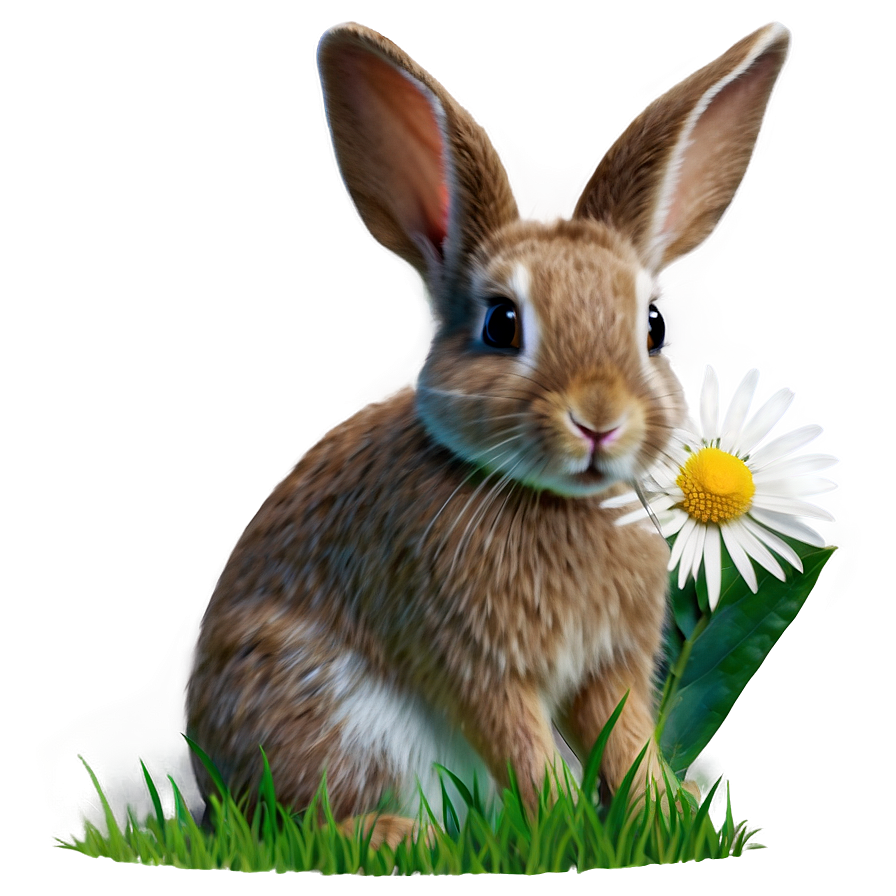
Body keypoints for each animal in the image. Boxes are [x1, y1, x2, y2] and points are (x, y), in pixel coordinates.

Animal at [184, 20, 790, 848]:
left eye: (656, 326)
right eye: (502, 324)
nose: (599, 418)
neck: (556, 502)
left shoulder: (608, 667)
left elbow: (628, 741)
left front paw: (669, 816)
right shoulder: (478, 665)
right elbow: (528, 752)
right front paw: (570, 833)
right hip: (320, 711)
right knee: (295, 824)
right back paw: (400, 840)